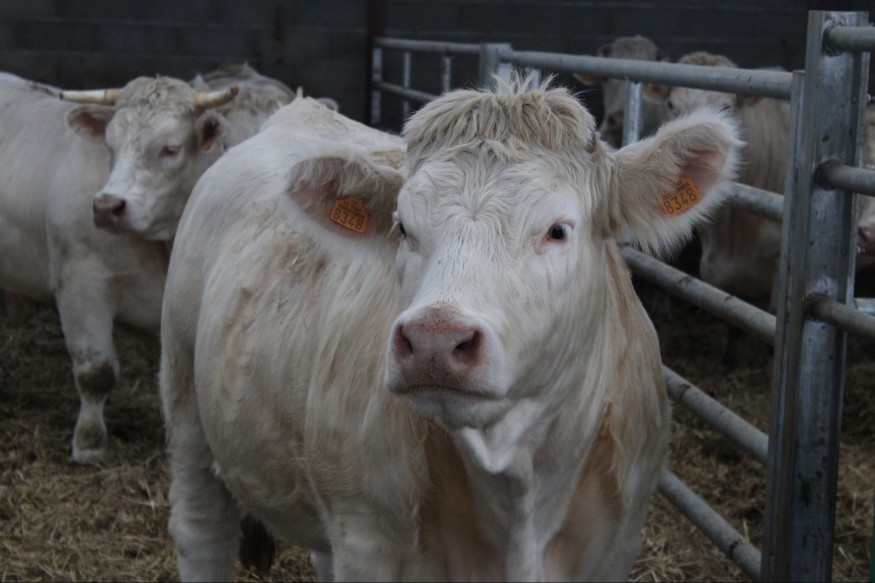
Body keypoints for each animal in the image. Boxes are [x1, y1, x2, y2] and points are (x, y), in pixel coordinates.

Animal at [159, 75, 741, 581]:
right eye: (402, 227)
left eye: (558, 230)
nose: (434, 340)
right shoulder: (367, 541)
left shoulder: (615, 547)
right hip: (186, 400)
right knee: (201, 531)